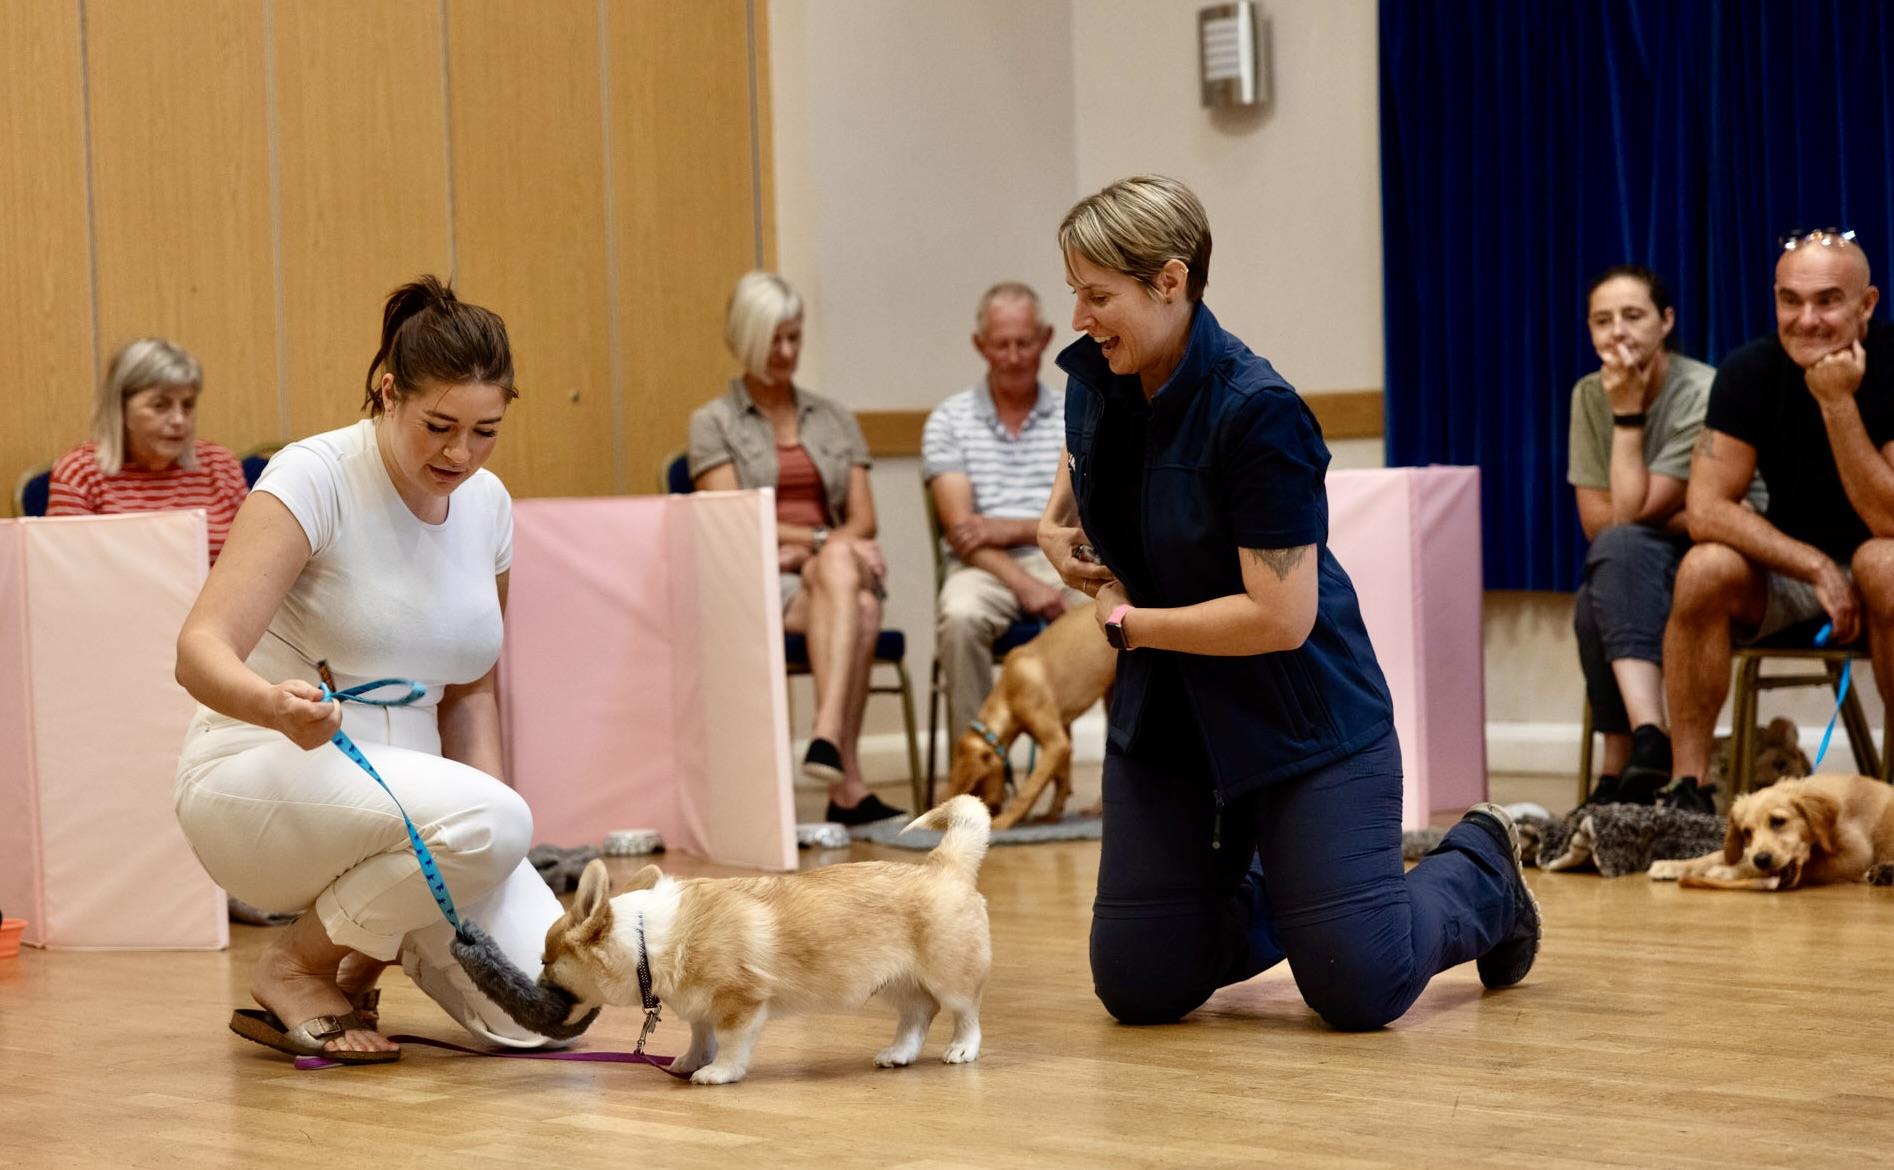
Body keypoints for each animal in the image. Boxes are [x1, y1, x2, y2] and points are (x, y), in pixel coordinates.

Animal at [541, 791, 1000, 1082]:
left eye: (546, 961)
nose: (535, 981)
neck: (644, 941)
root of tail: (944, 865)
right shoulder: (700, 1007)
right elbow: (700, 1035)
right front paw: (689, 1061)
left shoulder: (739, 1003)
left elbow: (729, 1043)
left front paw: (717, 1073)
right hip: (895, 982)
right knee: (919, 1013)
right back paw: (898, 1053)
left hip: (950, 978)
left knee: (966, 1013)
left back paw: (962, 1049)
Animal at [943, 602, 1113, 829]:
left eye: (976, 789)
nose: (990, 812)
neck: (1008, 693)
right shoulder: (1063, 733)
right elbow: (1060, 777)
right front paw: (1052, 815)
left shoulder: (1056, 743)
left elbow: (1030, 788)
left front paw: (1006, 820)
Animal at [1643, 768, 1894, 889]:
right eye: (1746, 832)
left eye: (1778, 821)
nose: (1761, 859)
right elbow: (1717, 855)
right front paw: (1672, 865)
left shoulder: (1855, 854)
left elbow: (1806, 865)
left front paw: (1729, 872)